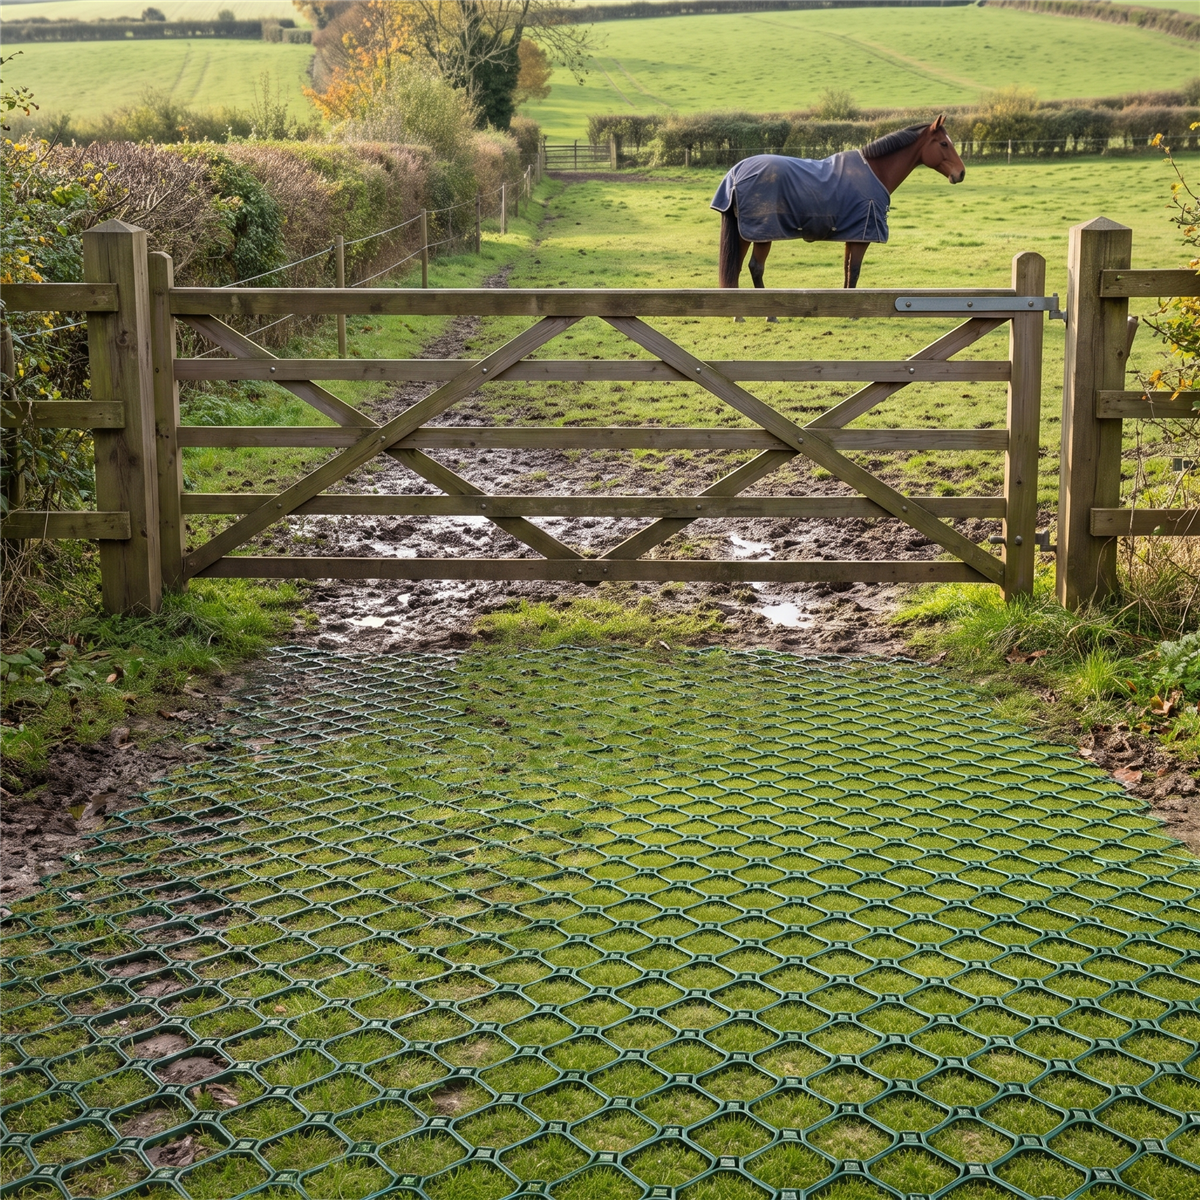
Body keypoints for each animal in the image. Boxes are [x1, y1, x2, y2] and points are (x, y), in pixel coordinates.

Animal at [713, 115, 966, 296]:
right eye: (944, 143)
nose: (961, 173)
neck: (875, 172)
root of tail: (736, 174)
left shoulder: (852, 235)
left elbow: (846, 270)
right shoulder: (862, 237)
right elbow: (854, 272)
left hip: (743, 234)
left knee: (735, 268)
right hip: (763, 234)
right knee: (755, 267)